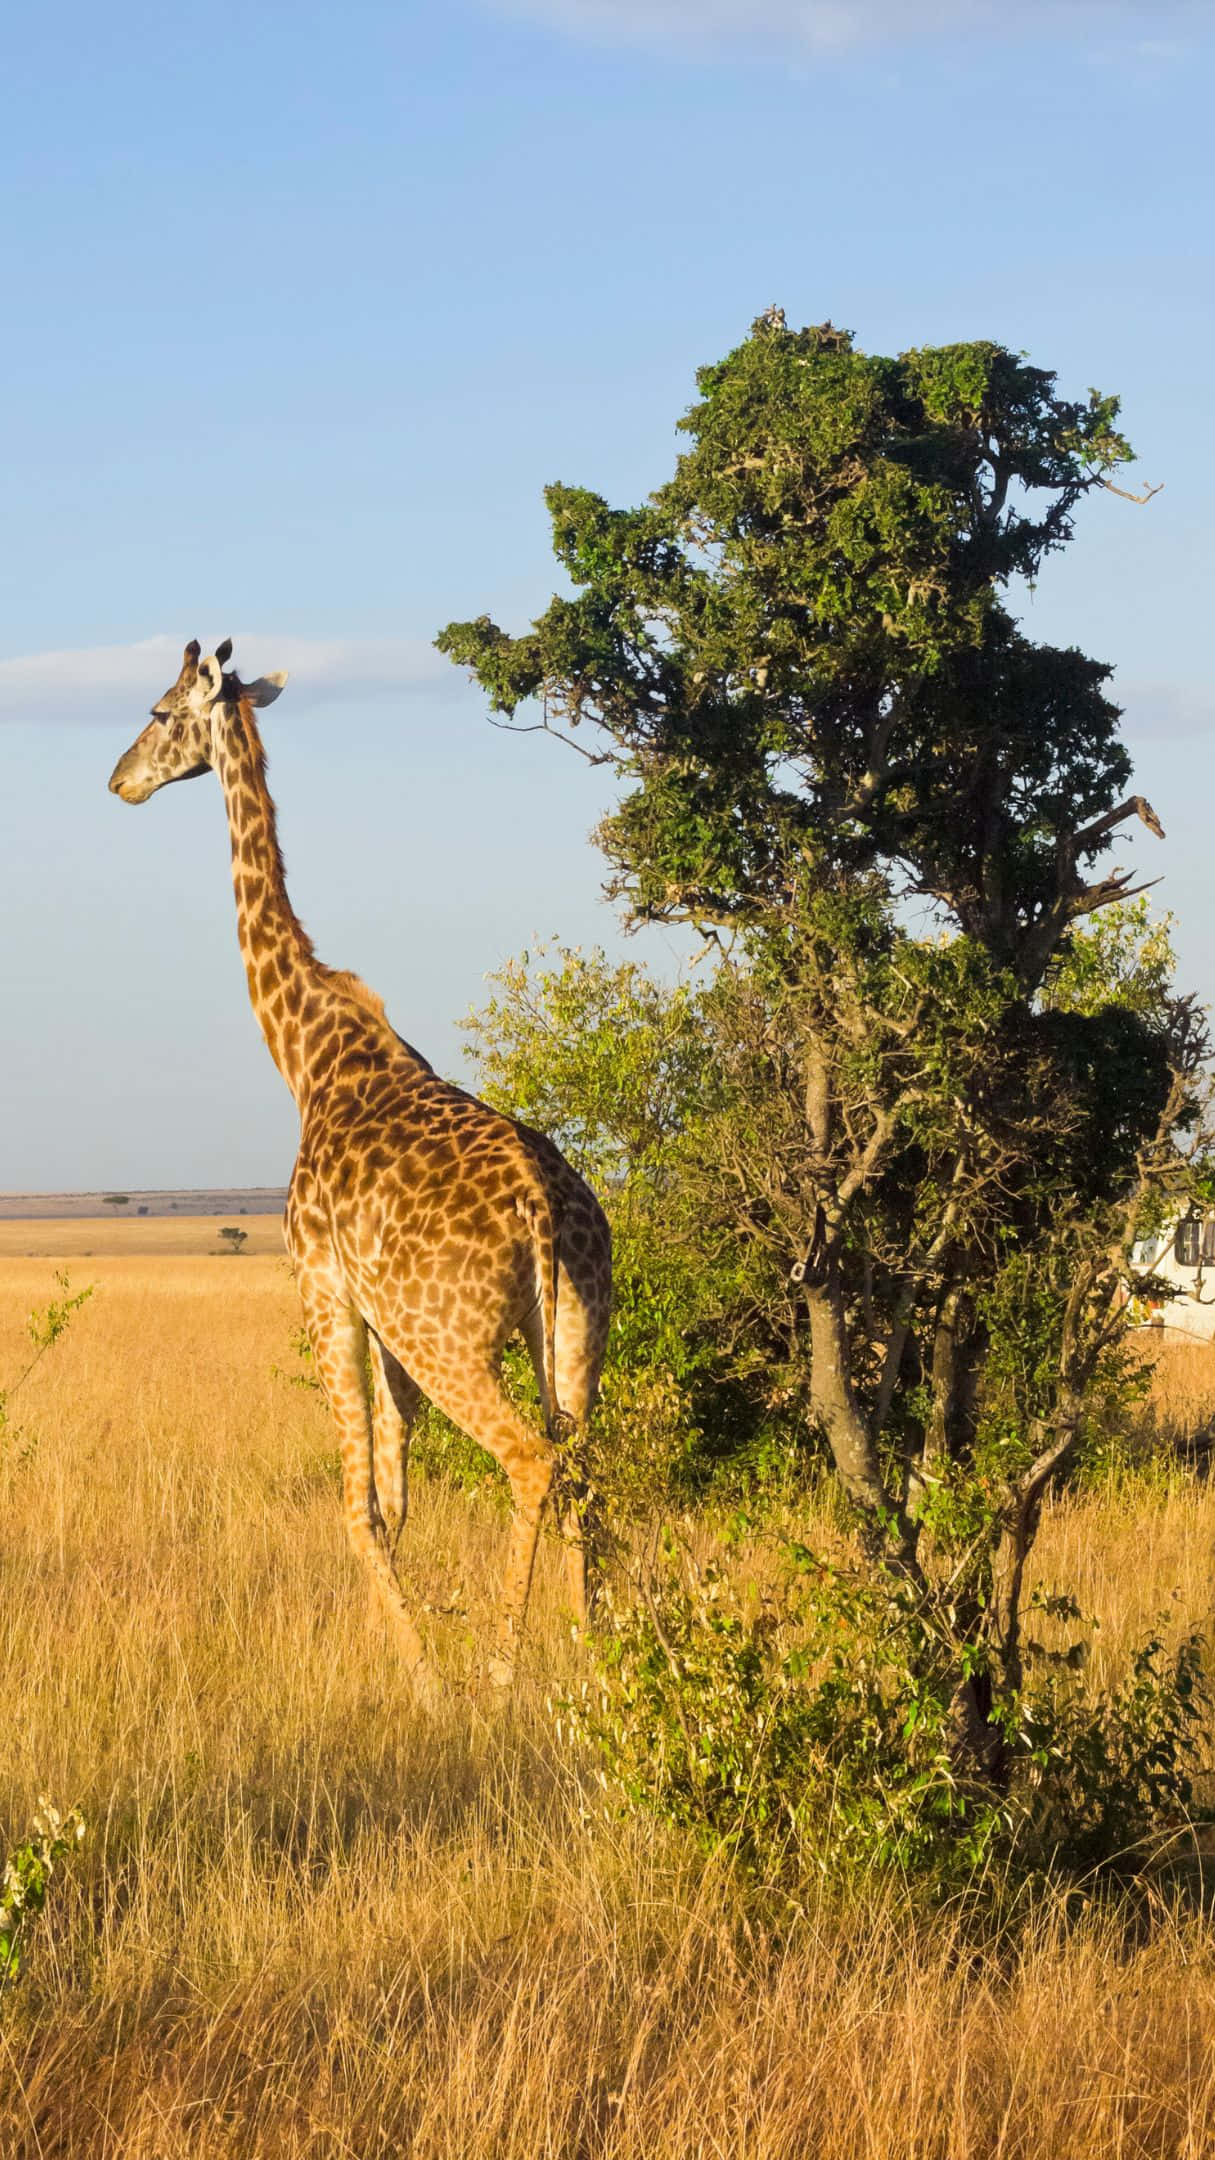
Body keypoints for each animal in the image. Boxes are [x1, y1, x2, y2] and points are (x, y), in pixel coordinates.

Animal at [108, 639, 612, 1701]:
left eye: (162, 711)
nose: (119, 779)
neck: (305, 1055)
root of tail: (544, 1211)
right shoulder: (383, 1329)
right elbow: (397, 1494)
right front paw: (406, 1649)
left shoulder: (326, 1291)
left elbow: (359, 1504)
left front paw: (421, 1675)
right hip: (576, 1329)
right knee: (583, 1466)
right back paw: (598, 1657)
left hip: (450, 1339)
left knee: (529, 1462)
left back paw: (500, 1675)